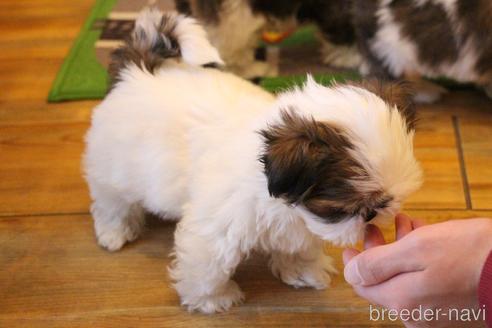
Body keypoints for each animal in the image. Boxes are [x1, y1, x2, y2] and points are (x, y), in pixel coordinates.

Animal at [84, 9, 422, 314]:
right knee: (112, 202)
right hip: (112, 165)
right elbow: (208, 263)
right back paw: (115, 231)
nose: (376, 213)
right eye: (343, 209)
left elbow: (298, 245)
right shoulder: (218, 225)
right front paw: (213, 299)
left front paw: (302, 270)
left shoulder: (296, 224)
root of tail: (137, 71)